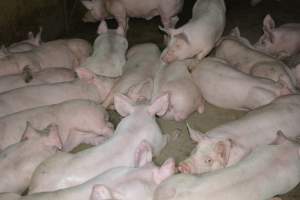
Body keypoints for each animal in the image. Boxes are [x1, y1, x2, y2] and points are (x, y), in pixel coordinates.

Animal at [27, 94, 169, 194]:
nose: (143, 97)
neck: (136, 126)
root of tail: (33, 187)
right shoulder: (156, 142)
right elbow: (162, 143)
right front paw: (171, 135)